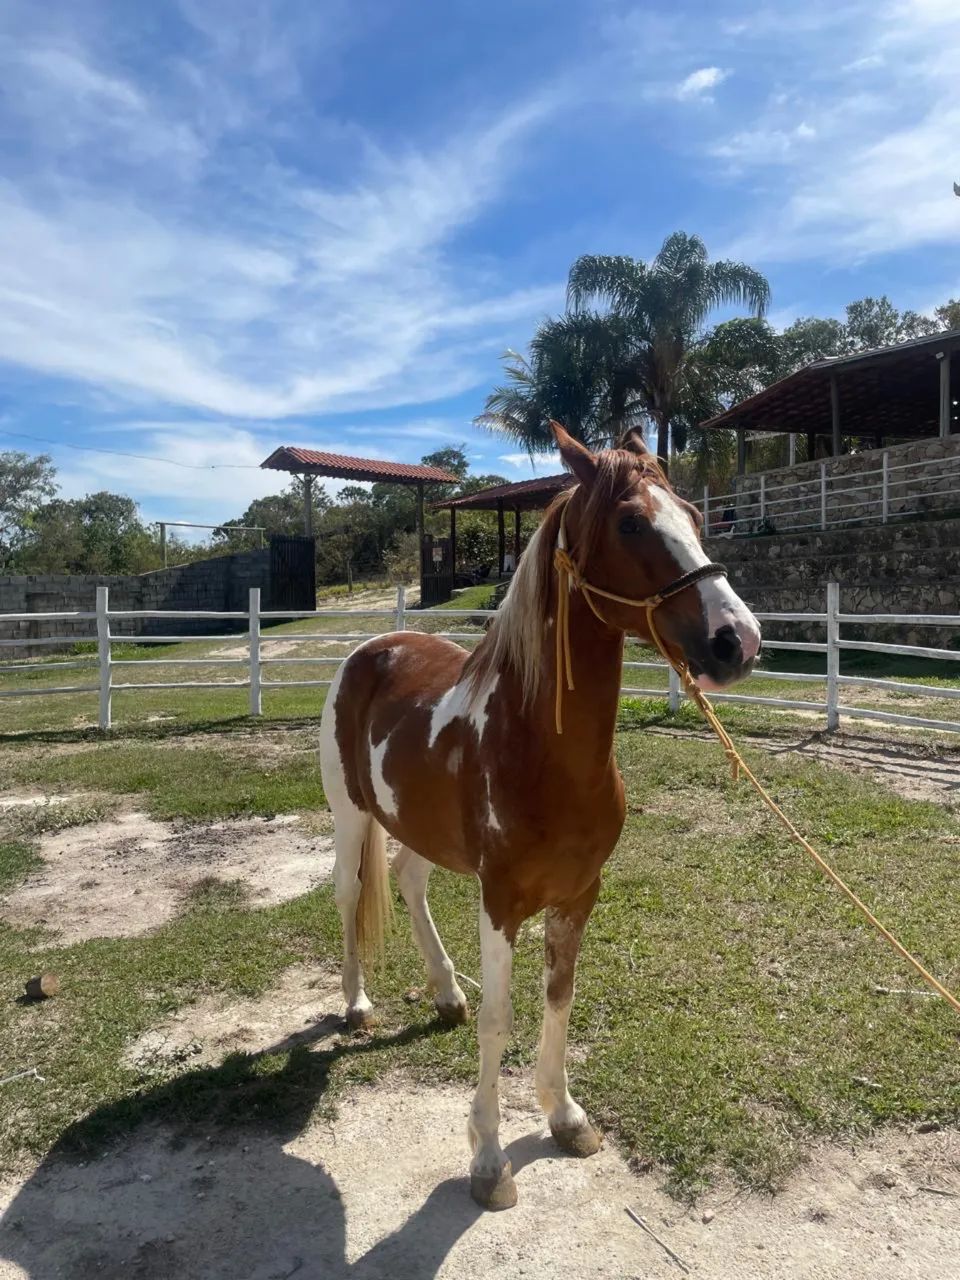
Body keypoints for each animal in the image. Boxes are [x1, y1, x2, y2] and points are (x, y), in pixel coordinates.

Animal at [319, 423, 761, 1211]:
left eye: (694, 514)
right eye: (631, 523)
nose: (738, 639)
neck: (541, 748)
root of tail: (372, 648)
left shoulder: (578, 894)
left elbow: (560, 998)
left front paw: (566, 1117)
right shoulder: (501, 900)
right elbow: (502, 1019)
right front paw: (489, 1161)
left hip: (417, 824)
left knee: (408, 879)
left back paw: (444, 993)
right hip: (349, 813)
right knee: (349, 894)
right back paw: (359, 1004)